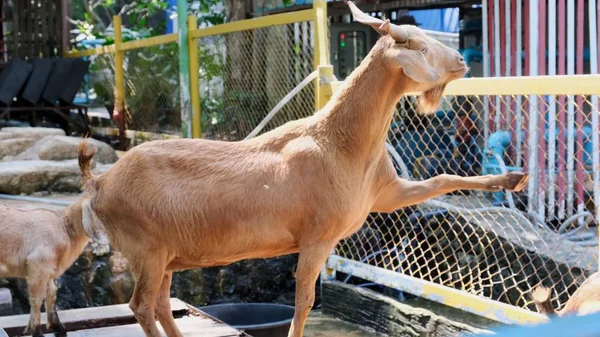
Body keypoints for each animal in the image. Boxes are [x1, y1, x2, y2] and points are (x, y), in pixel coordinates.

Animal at [0, 201, 90, 334]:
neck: (65, 227)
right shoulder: (38, 263)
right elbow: (37, 299)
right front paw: (36, 331)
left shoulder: (48, 269)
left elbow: (51, 293)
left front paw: (58, 326)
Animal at [77, 2, 528, 336]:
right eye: (418, 45)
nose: (461, 60)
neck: (341, 143)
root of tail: (99, 183)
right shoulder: (317, 236)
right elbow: (304, 300)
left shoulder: (385, 192)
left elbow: (440, 179)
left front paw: (513, 178)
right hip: (147, 249)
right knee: (140, 305)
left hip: (166, 254)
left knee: (160, 304)